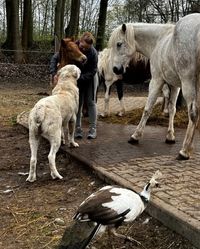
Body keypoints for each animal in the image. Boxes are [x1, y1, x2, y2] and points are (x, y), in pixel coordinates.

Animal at [109, 13, 200, 160]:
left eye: (119, 44)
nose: (116, 69)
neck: (159, 39)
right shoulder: (174, 86)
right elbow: (172, 109)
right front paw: (170, 136)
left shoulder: (156, 81)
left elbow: (147, 109)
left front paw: (136, 136)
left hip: (188, 82)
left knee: (193, 113)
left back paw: (185, 150)